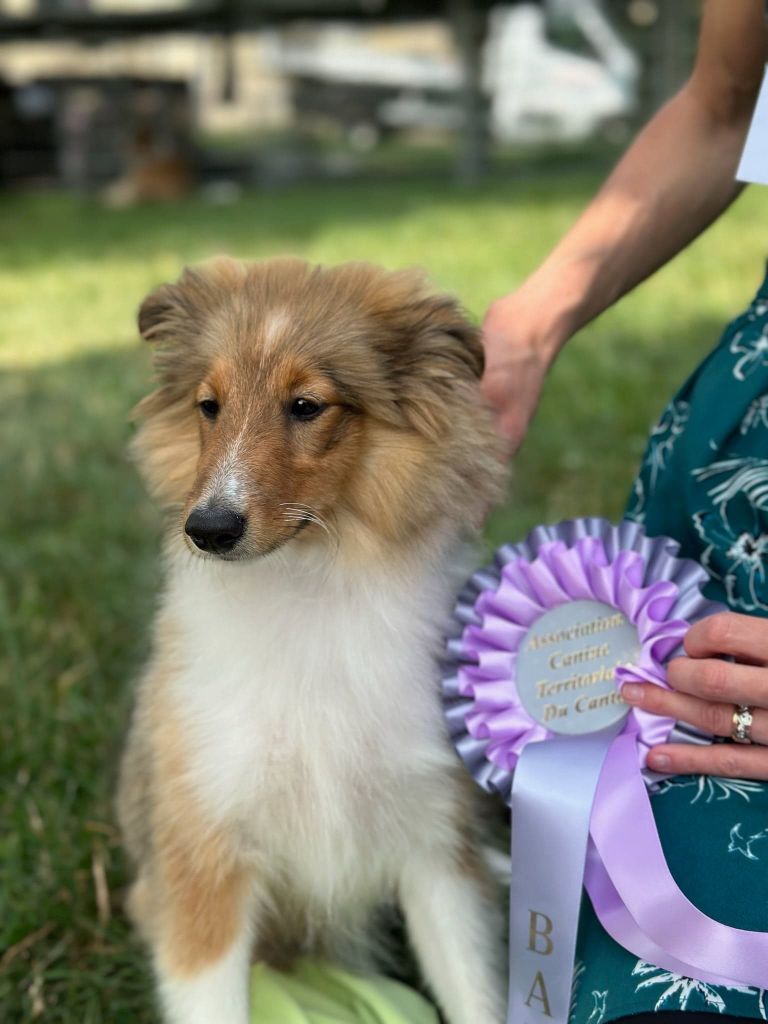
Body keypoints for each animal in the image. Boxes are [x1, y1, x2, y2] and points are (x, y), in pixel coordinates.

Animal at [115, 258, 512, 1024]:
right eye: (208, 405)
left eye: (306, 405)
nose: (207, 530)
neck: (310, 590)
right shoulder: (203, 861)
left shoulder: (434, 843)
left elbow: (475, 990)